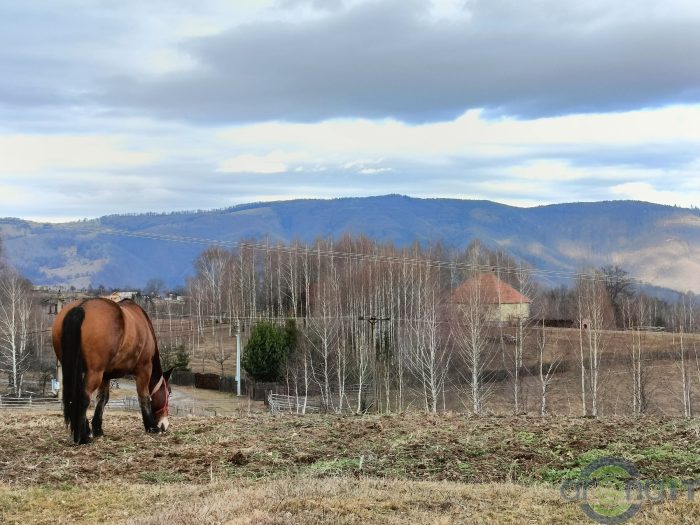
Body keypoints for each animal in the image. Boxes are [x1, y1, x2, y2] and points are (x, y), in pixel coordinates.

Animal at [52, 298, 172, 442]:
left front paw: (97, 429)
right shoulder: (144, 369)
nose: (164, 425)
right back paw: (83, 437)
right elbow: (144, 396)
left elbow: (102, 399)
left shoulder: (106, 376)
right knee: (83, 397)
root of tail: (81, 307)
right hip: (94, 373)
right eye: (169, 392)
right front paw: (151, 427)